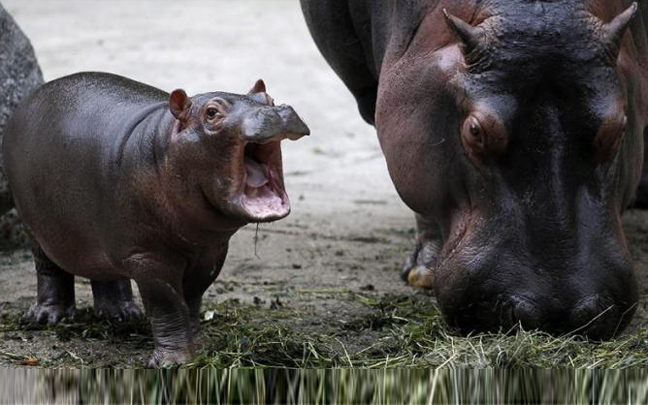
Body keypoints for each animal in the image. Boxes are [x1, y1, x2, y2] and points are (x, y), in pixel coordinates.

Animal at [3, 72, 308, 366]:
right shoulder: (147, 257)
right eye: (211, 113)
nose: (277, 111)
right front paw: (172, 362)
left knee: (105, 271)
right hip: (36, 229)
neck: (166, 146)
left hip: (105, 235)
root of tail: (32, 97)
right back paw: (48, 317)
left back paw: (122, 314)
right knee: (49, 269)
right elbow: (168, 305)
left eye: (268, 98)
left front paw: (200, 348)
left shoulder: (211, 252)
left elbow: (191, 299)